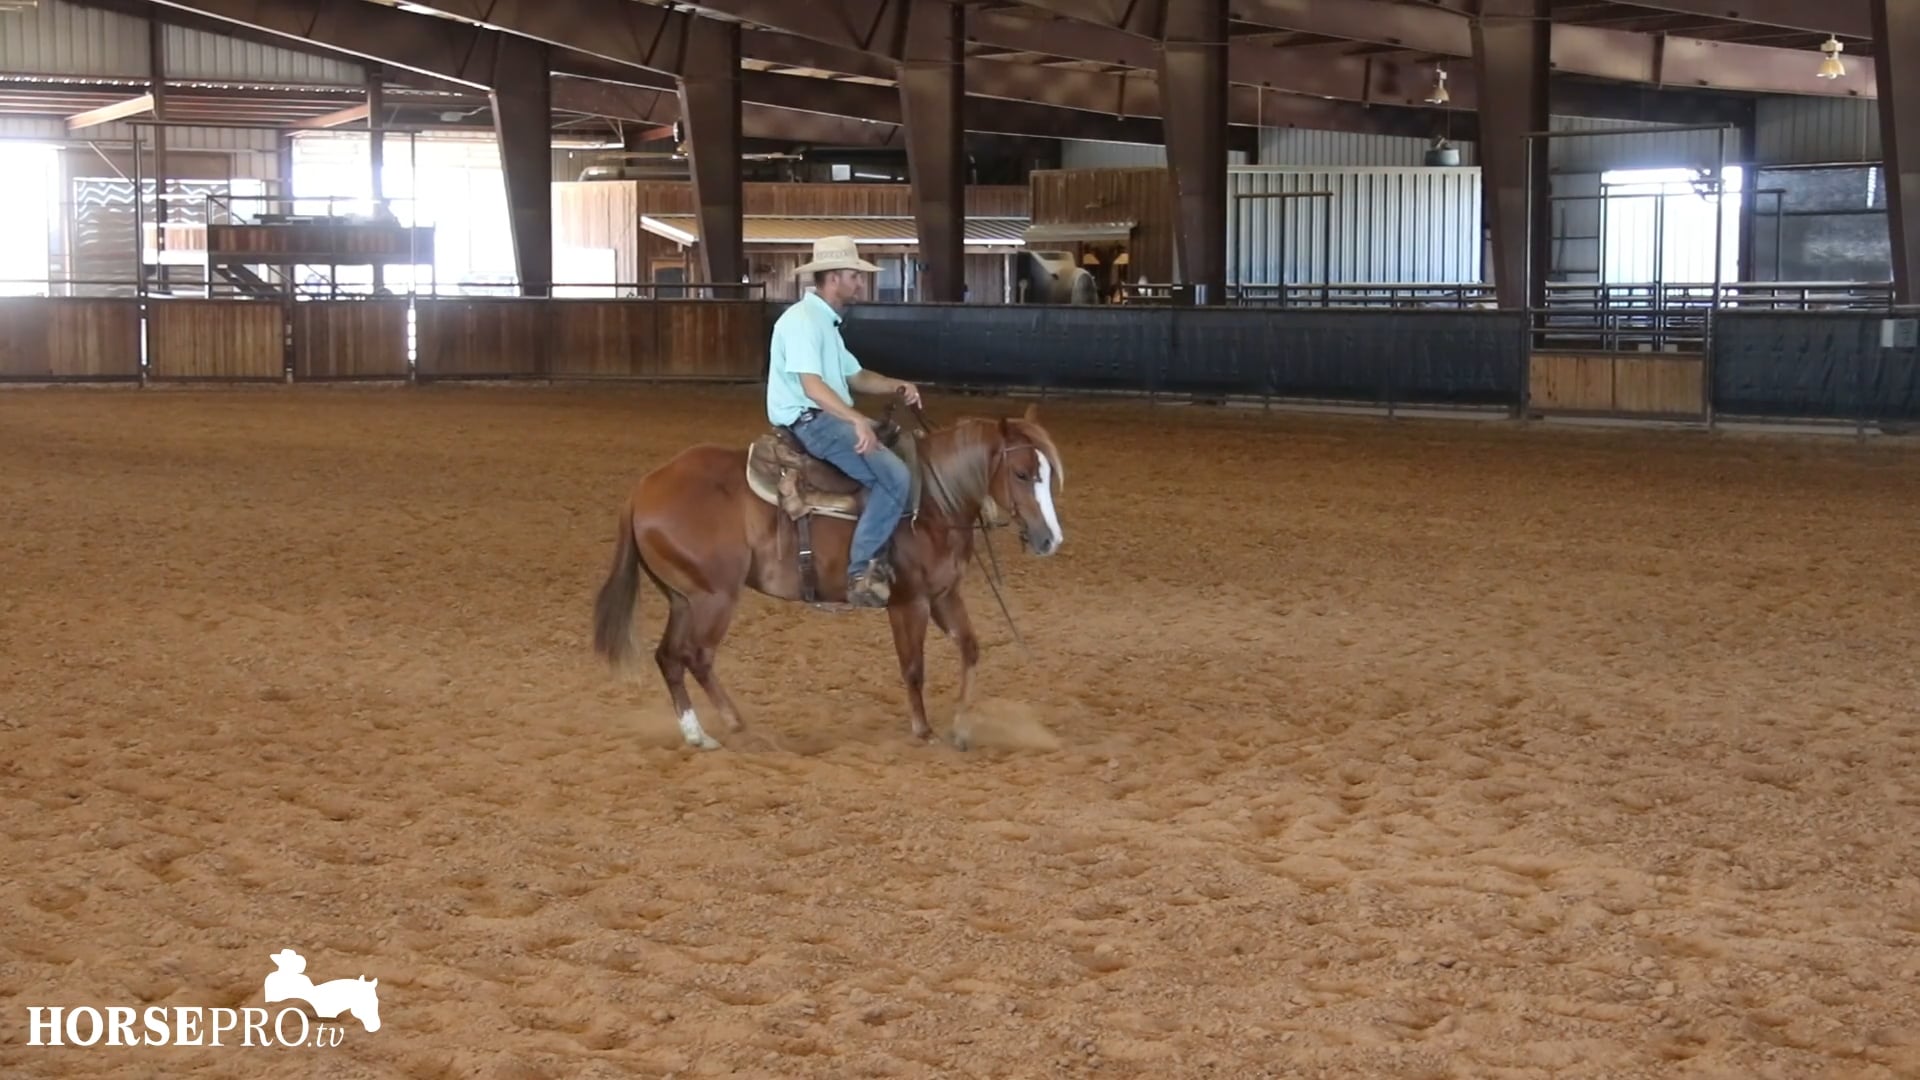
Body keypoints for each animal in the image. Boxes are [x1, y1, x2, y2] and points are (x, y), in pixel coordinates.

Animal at [591, 402, 1066, 749]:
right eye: (1022, 473)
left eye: (1046, 474)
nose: (1050, 540)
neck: (932, 502)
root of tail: (643, 488)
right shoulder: (909, 601)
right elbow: (913, 666)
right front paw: (924, 730)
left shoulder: (944, 595)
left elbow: (970, 649)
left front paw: (962, 726)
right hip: (714, 597)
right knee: (696, 656)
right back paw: (737, 723)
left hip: (683, 598)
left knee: (669, 657)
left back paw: (697, 734)